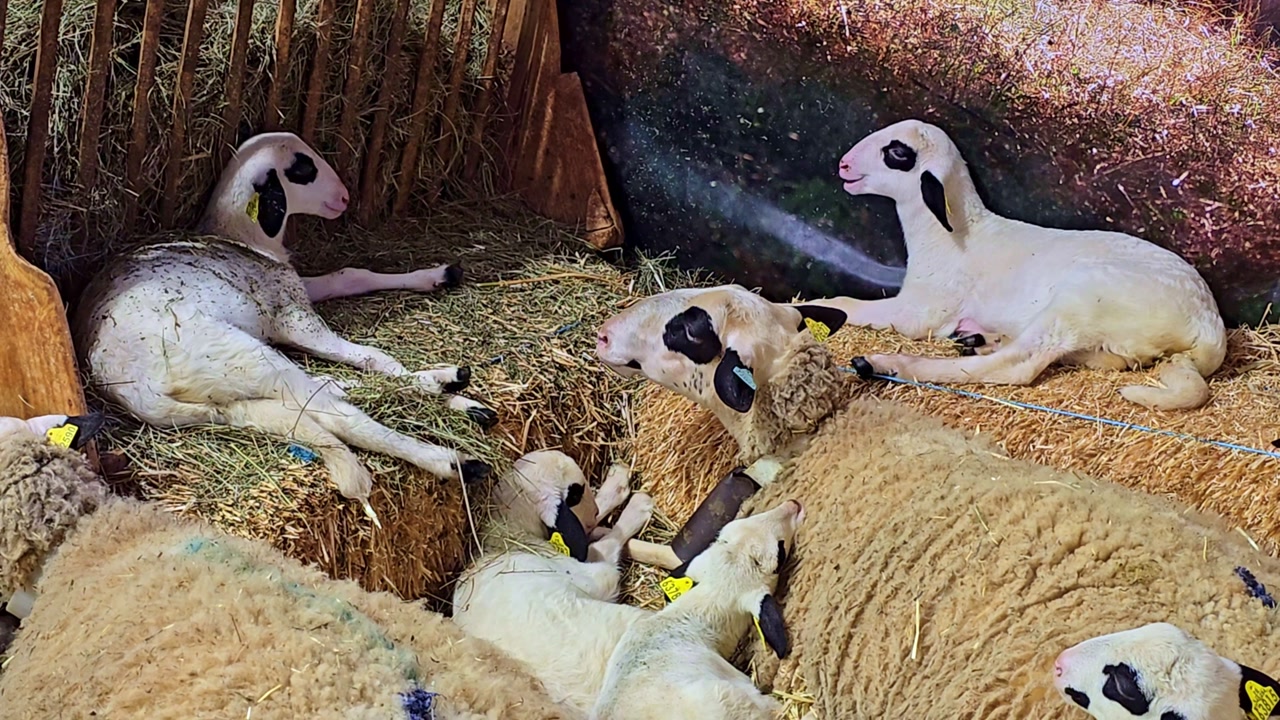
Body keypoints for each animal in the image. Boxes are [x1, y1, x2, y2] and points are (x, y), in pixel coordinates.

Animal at [72, 132, 496, 526]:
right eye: (303, 169)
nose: (344, 198)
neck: (243, 236)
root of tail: (137, 393)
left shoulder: (295, 286)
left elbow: (350, 275)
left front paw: (438, 276)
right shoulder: (291, 315)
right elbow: (374, 357)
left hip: (233, 390)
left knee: (329, 394)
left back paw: (454, 395)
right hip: (241, 356)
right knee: (337, 411)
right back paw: (454, 450)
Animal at [796, 118, 1226, 411]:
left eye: (898, 153)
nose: (844, 165)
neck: (954, 235)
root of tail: (1208, 327)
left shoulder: (921, 311)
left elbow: (847, 304)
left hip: (1081, 298)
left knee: (1018, 366)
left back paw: (885, 363)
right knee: (1101, 359)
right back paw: (980, 341)